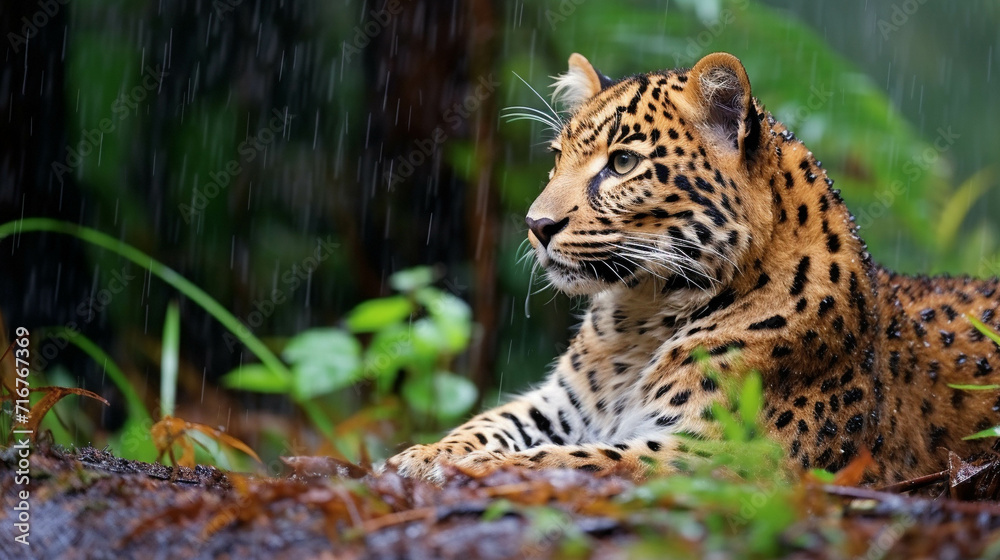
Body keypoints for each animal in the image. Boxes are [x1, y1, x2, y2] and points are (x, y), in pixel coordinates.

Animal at [386, 52, 1000, 485]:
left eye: (623, 163)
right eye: (558, 158)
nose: (537, 224)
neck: (641, 313)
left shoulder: (718, 452)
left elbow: (580, 460)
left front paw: (473, 470)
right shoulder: (561, 403)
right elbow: (492, 422)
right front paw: (420, 455)